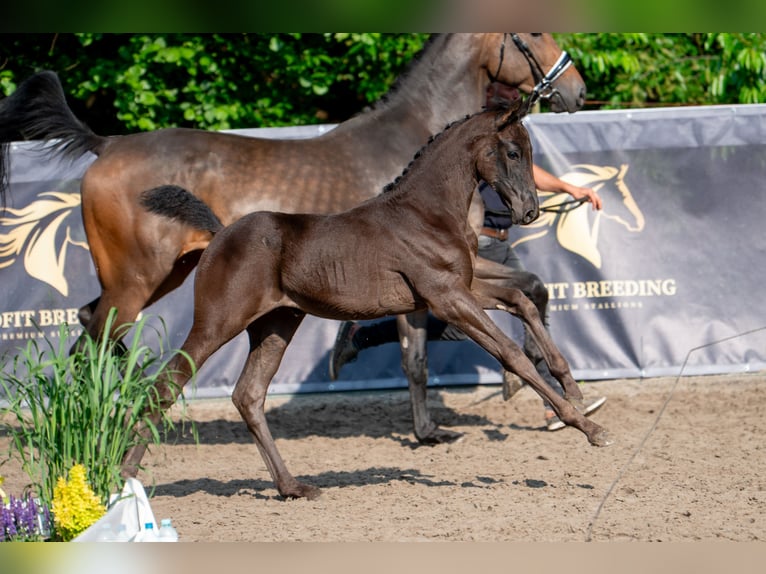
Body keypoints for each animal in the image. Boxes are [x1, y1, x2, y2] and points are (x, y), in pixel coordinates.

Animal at [0, 33, 586, 445]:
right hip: (139, 279)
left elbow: (528, 289)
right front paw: (431, 426)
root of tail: (105, 145)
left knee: (89, 325)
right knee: (98, 335)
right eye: (533, 34)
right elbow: (417, 353)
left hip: (163, 274)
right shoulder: (433, 283)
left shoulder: (462, 269)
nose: (576, 90)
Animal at [124, 101, 612, 499]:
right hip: (217, 322)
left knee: (249, 395)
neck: (426, 213)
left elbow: (520, 300)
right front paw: (589, 428)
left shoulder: (461, 289)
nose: (530, 210)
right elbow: (511, 352)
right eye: (512, 152)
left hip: (276, 324)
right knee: (167, 386)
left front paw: (573, 389)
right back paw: (124, 476)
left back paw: (292, 487)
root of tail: (218, 234)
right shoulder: (447, 297)